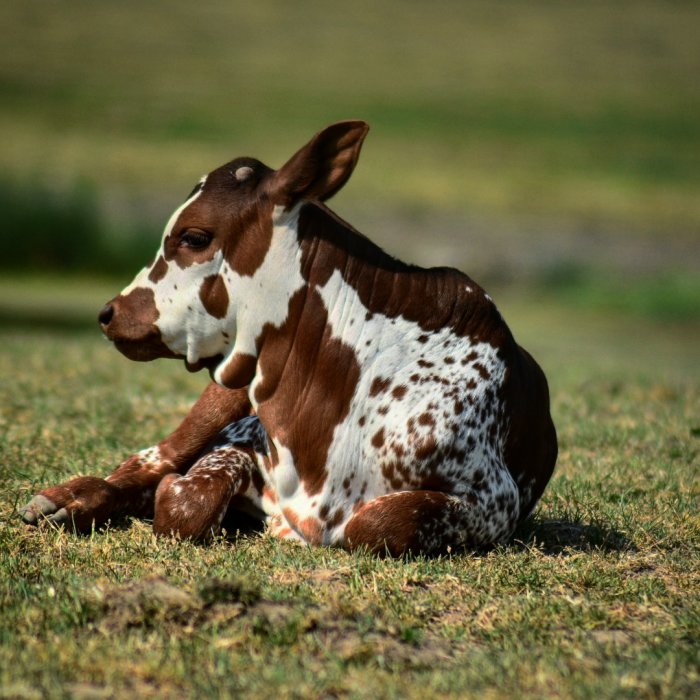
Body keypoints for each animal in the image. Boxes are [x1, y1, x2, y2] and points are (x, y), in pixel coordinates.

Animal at [20, 121, 556, 556]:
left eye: (194, 237)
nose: (109, 313)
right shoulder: (241, 437)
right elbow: (188, 499)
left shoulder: (494, 501)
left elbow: (377, 523)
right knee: (151, 458)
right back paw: (67, 500)